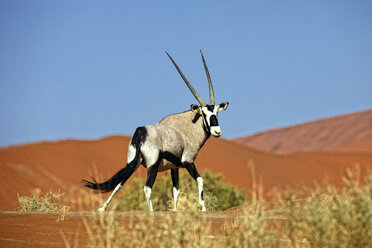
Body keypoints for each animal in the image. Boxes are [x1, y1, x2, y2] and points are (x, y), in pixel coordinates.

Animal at [83, 50, 228, 211]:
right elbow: (200, 180)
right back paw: (151, 212)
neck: (188, 127)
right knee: (147, 188)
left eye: (217, 112)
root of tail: (140, 133)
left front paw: (175, 210)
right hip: (152, 165)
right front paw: (202, 207)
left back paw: (102, 208)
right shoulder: (188, 161)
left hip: (133, 162)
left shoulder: (174, 167)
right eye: (204, 113)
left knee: (119, 183)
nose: (217, 132)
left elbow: (176, 190)